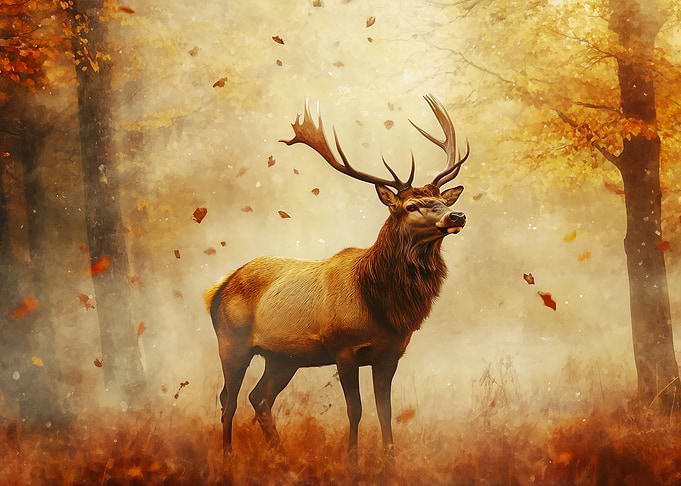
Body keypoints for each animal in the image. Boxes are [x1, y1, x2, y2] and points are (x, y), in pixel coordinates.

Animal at [205, 95, 470, 467]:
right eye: (411, 206)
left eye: (443, 200)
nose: (456, 215)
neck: (381, 304)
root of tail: (218, 288)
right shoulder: (345, 349)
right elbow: (355, 410)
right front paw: (352, 463)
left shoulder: (390, 353)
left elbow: (385, 411)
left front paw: (390, 463)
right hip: (232, 340)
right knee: (227, 398)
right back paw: (229, 457)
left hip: (283, 357)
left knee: (259, 398)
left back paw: (282, 456)